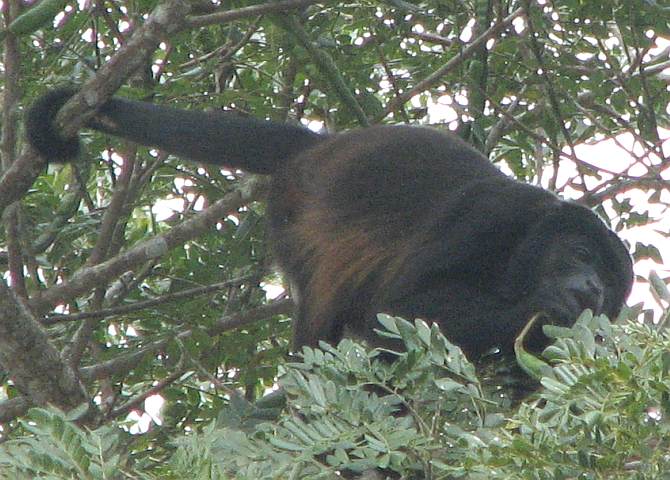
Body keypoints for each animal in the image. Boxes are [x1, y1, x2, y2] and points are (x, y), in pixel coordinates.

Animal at [27, 90, 636, 358]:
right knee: (327, 305)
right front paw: (542, 309)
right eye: (582, 255)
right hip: (293, 216)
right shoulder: (490, 216)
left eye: (610, 286)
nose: (592, 287)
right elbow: (399, 304)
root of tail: (320, 148)